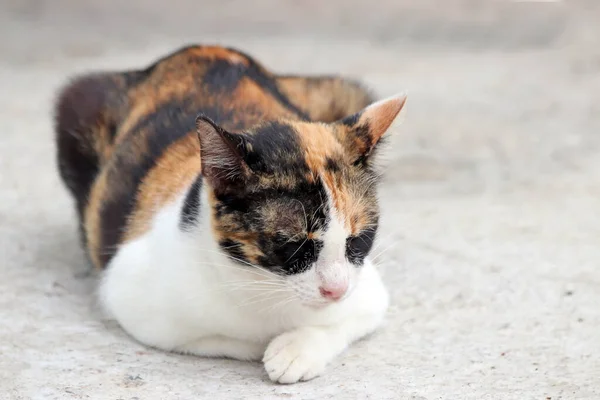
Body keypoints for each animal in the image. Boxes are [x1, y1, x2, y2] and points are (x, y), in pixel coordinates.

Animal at [56, 44, 406, 384]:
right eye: (294, 246)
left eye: (359, 241)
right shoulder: (131, 298)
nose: (336, 290)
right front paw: (269, 344)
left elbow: (342, 322)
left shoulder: (369, 294)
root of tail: (205, 49)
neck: (264, 287)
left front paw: (296, 349)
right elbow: (231, 340)